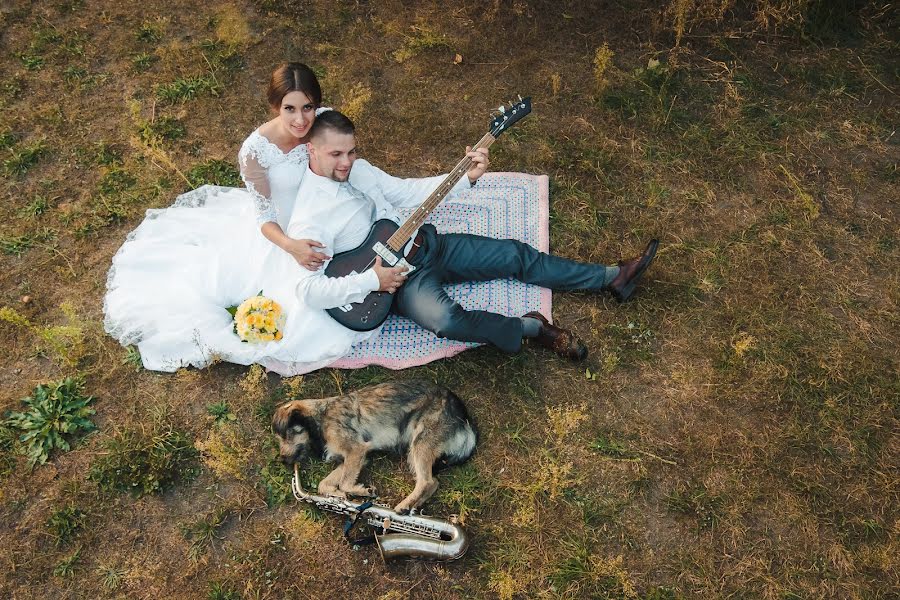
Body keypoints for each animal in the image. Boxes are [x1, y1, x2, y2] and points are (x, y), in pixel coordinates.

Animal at [270, 380, 474, 510]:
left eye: (287, 435)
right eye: (278, 439)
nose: (283, 461)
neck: (319, 419)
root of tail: (463, 416)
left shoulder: (356, 451)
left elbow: (345, 483)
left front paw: (361, 491)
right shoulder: (351, 459)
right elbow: (324, 484)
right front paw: (336, 495)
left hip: (420, 444)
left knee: (427, 481)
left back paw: (403, 506)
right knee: (433, 483)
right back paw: (414, 506)